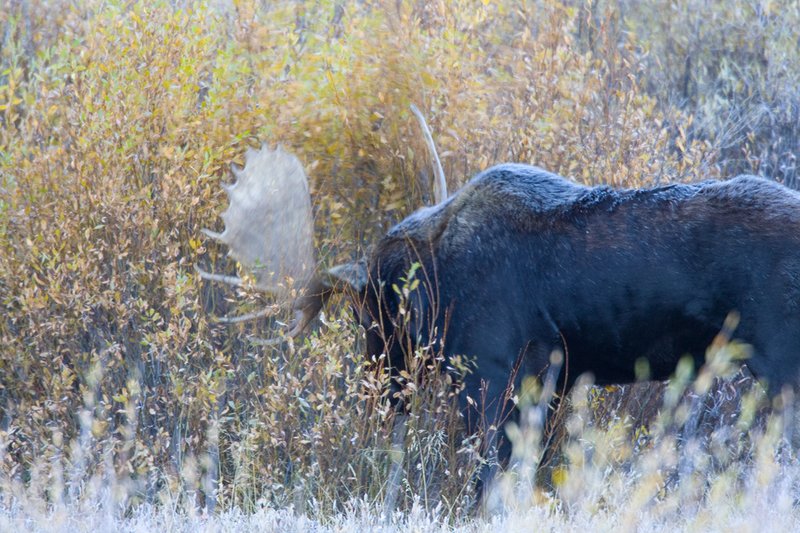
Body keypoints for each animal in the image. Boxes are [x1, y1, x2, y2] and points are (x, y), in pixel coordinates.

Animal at [197, 142, 800, 489]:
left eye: (371, 313)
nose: (376, 395)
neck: (437, 282)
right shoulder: (554, 376)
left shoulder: (492, 370)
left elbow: (489, 478)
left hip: (780, 363)